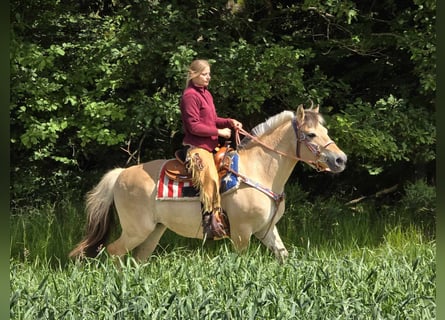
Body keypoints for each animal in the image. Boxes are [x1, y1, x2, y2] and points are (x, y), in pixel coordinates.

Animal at [69, 104, 346, 262]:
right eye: (310, 134)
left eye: (326, 132)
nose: (340, 159)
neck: (259, 170)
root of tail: (120, 174)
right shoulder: (242, 233)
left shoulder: (266, 231)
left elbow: (284, 257)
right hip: (136, 230)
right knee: (114, 253)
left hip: (153, 231)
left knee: (137, 259)